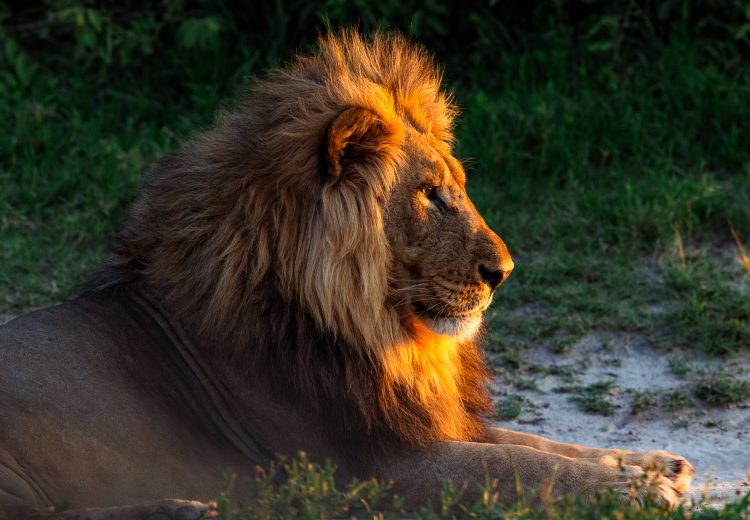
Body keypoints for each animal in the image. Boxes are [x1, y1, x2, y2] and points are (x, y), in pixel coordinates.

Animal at [0, 31, 694, 519]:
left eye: (456, 187)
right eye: (429, 194)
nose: (504, 272)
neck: (377, 332)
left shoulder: (409, 421)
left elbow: (534, 444)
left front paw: (654, 467)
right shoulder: (367, 466)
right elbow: (512, 468)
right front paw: (636, 492)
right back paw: (180, 510)